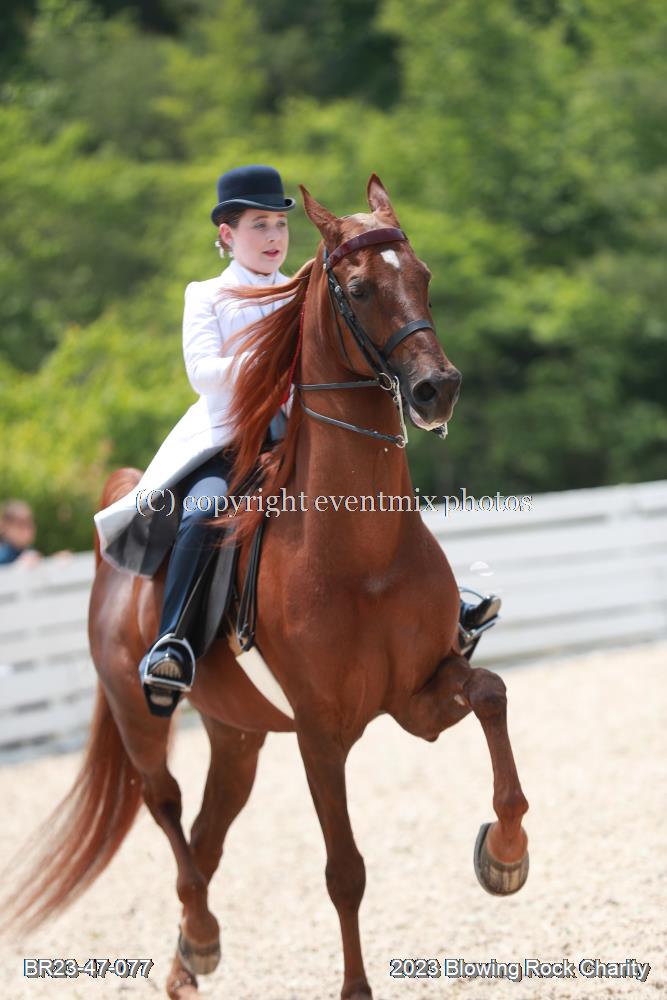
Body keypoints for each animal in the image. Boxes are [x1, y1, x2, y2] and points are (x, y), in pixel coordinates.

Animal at [4, 175, 529, 1000]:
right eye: (357, 288)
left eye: (423, 276)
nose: (435, 390)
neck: (363, 552)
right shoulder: (320, 731)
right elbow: (344, 871)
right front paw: (355, 988)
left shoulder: (417, 695)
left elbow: (491, 694)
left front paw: (505, 856)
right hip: (140, 716)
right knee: (168, 811)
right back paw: (201, 937)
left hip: (238, 735)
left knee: (207, 837)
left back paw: (187, 961)